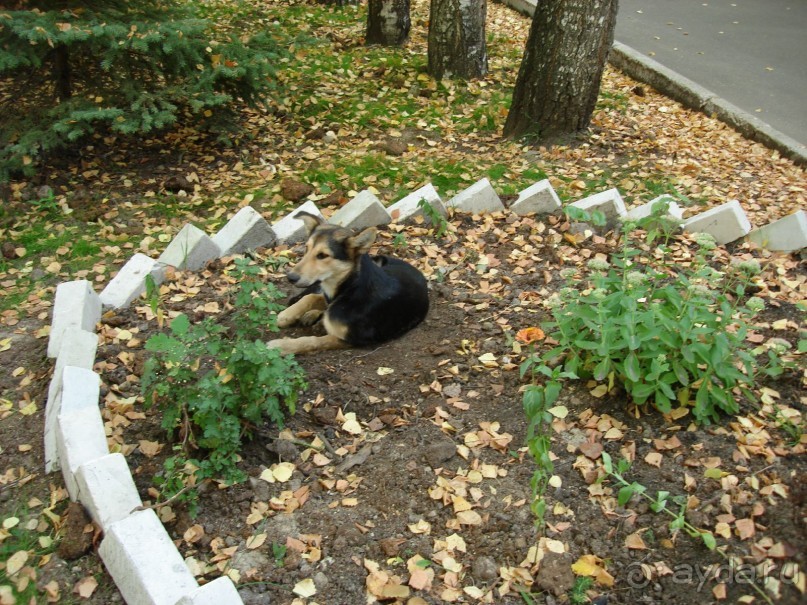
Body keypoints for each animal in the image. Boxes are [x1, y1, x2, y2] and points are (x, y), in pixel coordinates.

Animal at [266, 211, 432, 354]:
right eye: (306, 249)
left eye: (322, 255)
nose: (291, 277)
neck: (351, 288)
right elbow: (311, 297)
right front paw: (286, 315)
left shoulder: (353, 339)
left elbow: (312, 341)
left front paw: (281, 346)